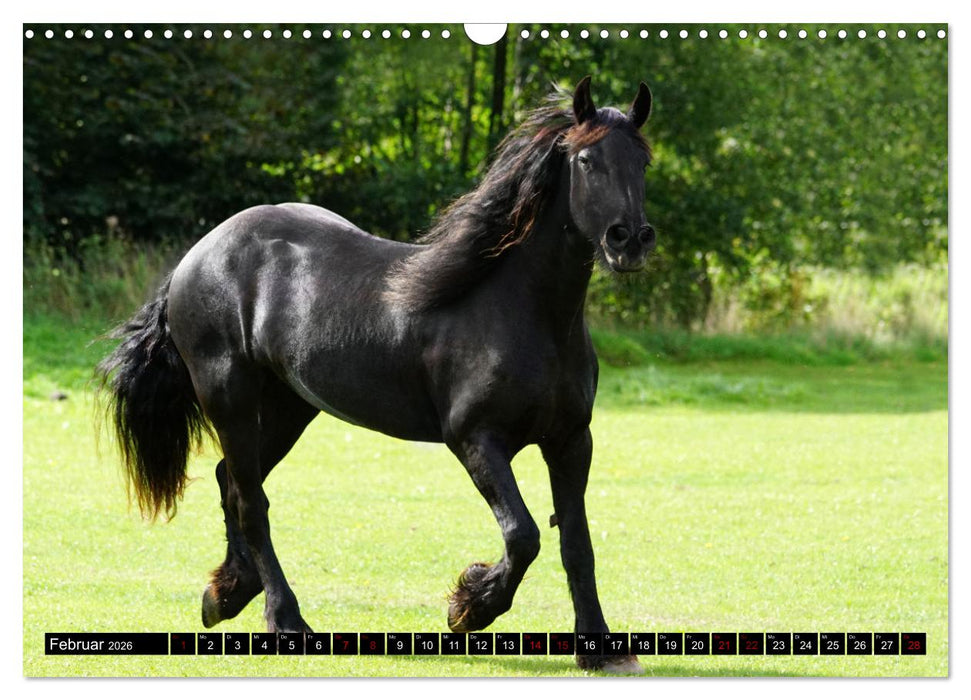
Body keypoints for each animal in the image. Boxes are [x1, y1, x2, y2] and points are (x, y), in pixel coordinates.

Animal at [98, 77, 656, 674]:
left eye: (643, 160)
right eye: (586, 160)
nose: (629, 240)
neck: (523, 312)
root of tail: (196, 256)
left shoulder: (571, 440)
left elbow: (576, 541)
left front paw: (600, 646)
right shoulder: (476, 439)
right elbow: (523, 535)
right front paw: (469, 607)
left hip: (288, 407)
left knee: (233, 482)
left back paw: (225, 594)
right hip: (231, 398)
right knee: (251, 502)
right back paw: (286, 620)